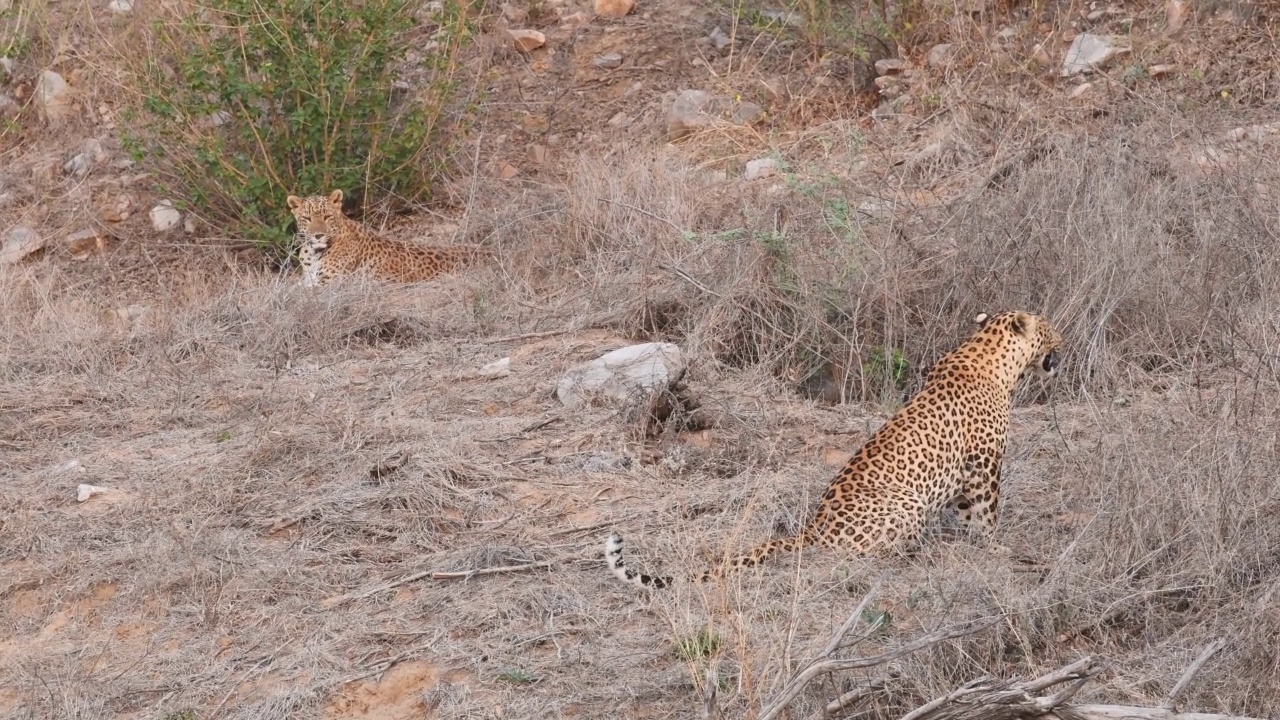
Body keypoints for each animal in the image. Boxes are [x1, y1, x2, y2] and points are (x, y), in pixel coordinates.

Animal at [288, 189, 491, 286]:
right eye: (307, 218)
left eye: (327, 217)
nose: (318, 235)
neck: (313, 252)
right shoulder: (307, 280)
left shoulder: (329, 284)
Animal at [604, 311, 1064, 586]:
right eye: (1049, 330)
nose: (1064, 340)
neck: (996, 361)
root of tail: (813, 529)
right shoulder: (984, 464)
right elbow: (987, 514)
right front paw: (997, 548)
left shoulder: (969, 473)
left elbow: (970, 514)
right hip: (908, 504)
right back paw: (915, 552)